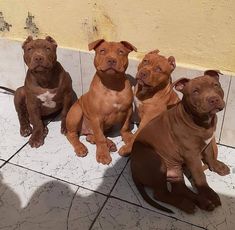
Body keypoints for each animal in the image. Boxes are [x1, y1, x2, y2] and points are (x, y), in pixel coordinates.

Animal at [131, 70, 230, 214]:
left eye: (216, 85)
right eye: (195, 92)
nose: (213, 99)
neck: (200, 121)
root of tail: (132, 167)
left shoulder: (208, 143)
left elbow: (210, 156)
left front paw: (218, 167)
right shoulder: (192, 155)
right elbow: (200, 177)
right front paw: (210, 194)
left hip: (175, 170)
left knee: (179, 189)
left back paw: (201, 202)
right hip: (157, 162)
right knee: (160, 194)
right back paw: (188, 204)